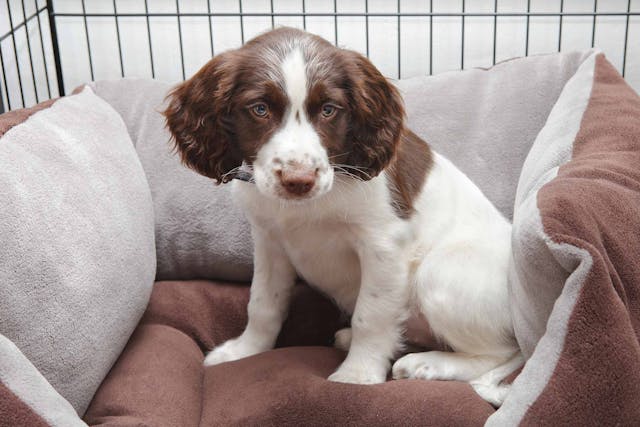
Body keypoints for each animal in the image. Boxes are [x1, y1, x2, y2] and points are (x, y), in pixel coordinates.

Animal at [162, 27, 524, 408]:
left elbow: (371, 315)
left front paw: (357, 375)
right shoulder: (269, 241)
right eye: (259, 109)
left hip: (439, 273)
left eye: (328, 110)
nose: (299, 181)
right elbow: (262, 303)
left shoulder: (383, 246)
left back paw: (427, 364)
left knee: (502, 352)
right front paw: (245, 350)